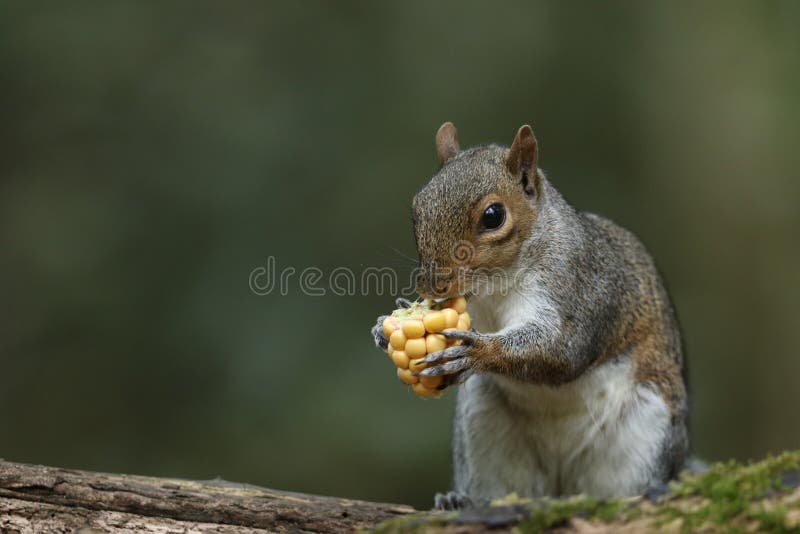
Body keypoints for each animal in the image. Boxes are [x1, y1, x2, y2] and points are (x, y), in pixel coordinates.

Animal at [371, 122, 689, 510]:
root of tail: (560, 484)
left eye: (493, 216)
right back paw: (463, 501)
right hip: (485, 427)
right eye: (416, 209)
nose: (433, 285)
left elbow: (561, 350)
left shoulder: (580, 289)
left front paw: (478, 352)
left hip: (645, 430)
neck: (495, 288)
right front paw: (385, 328)